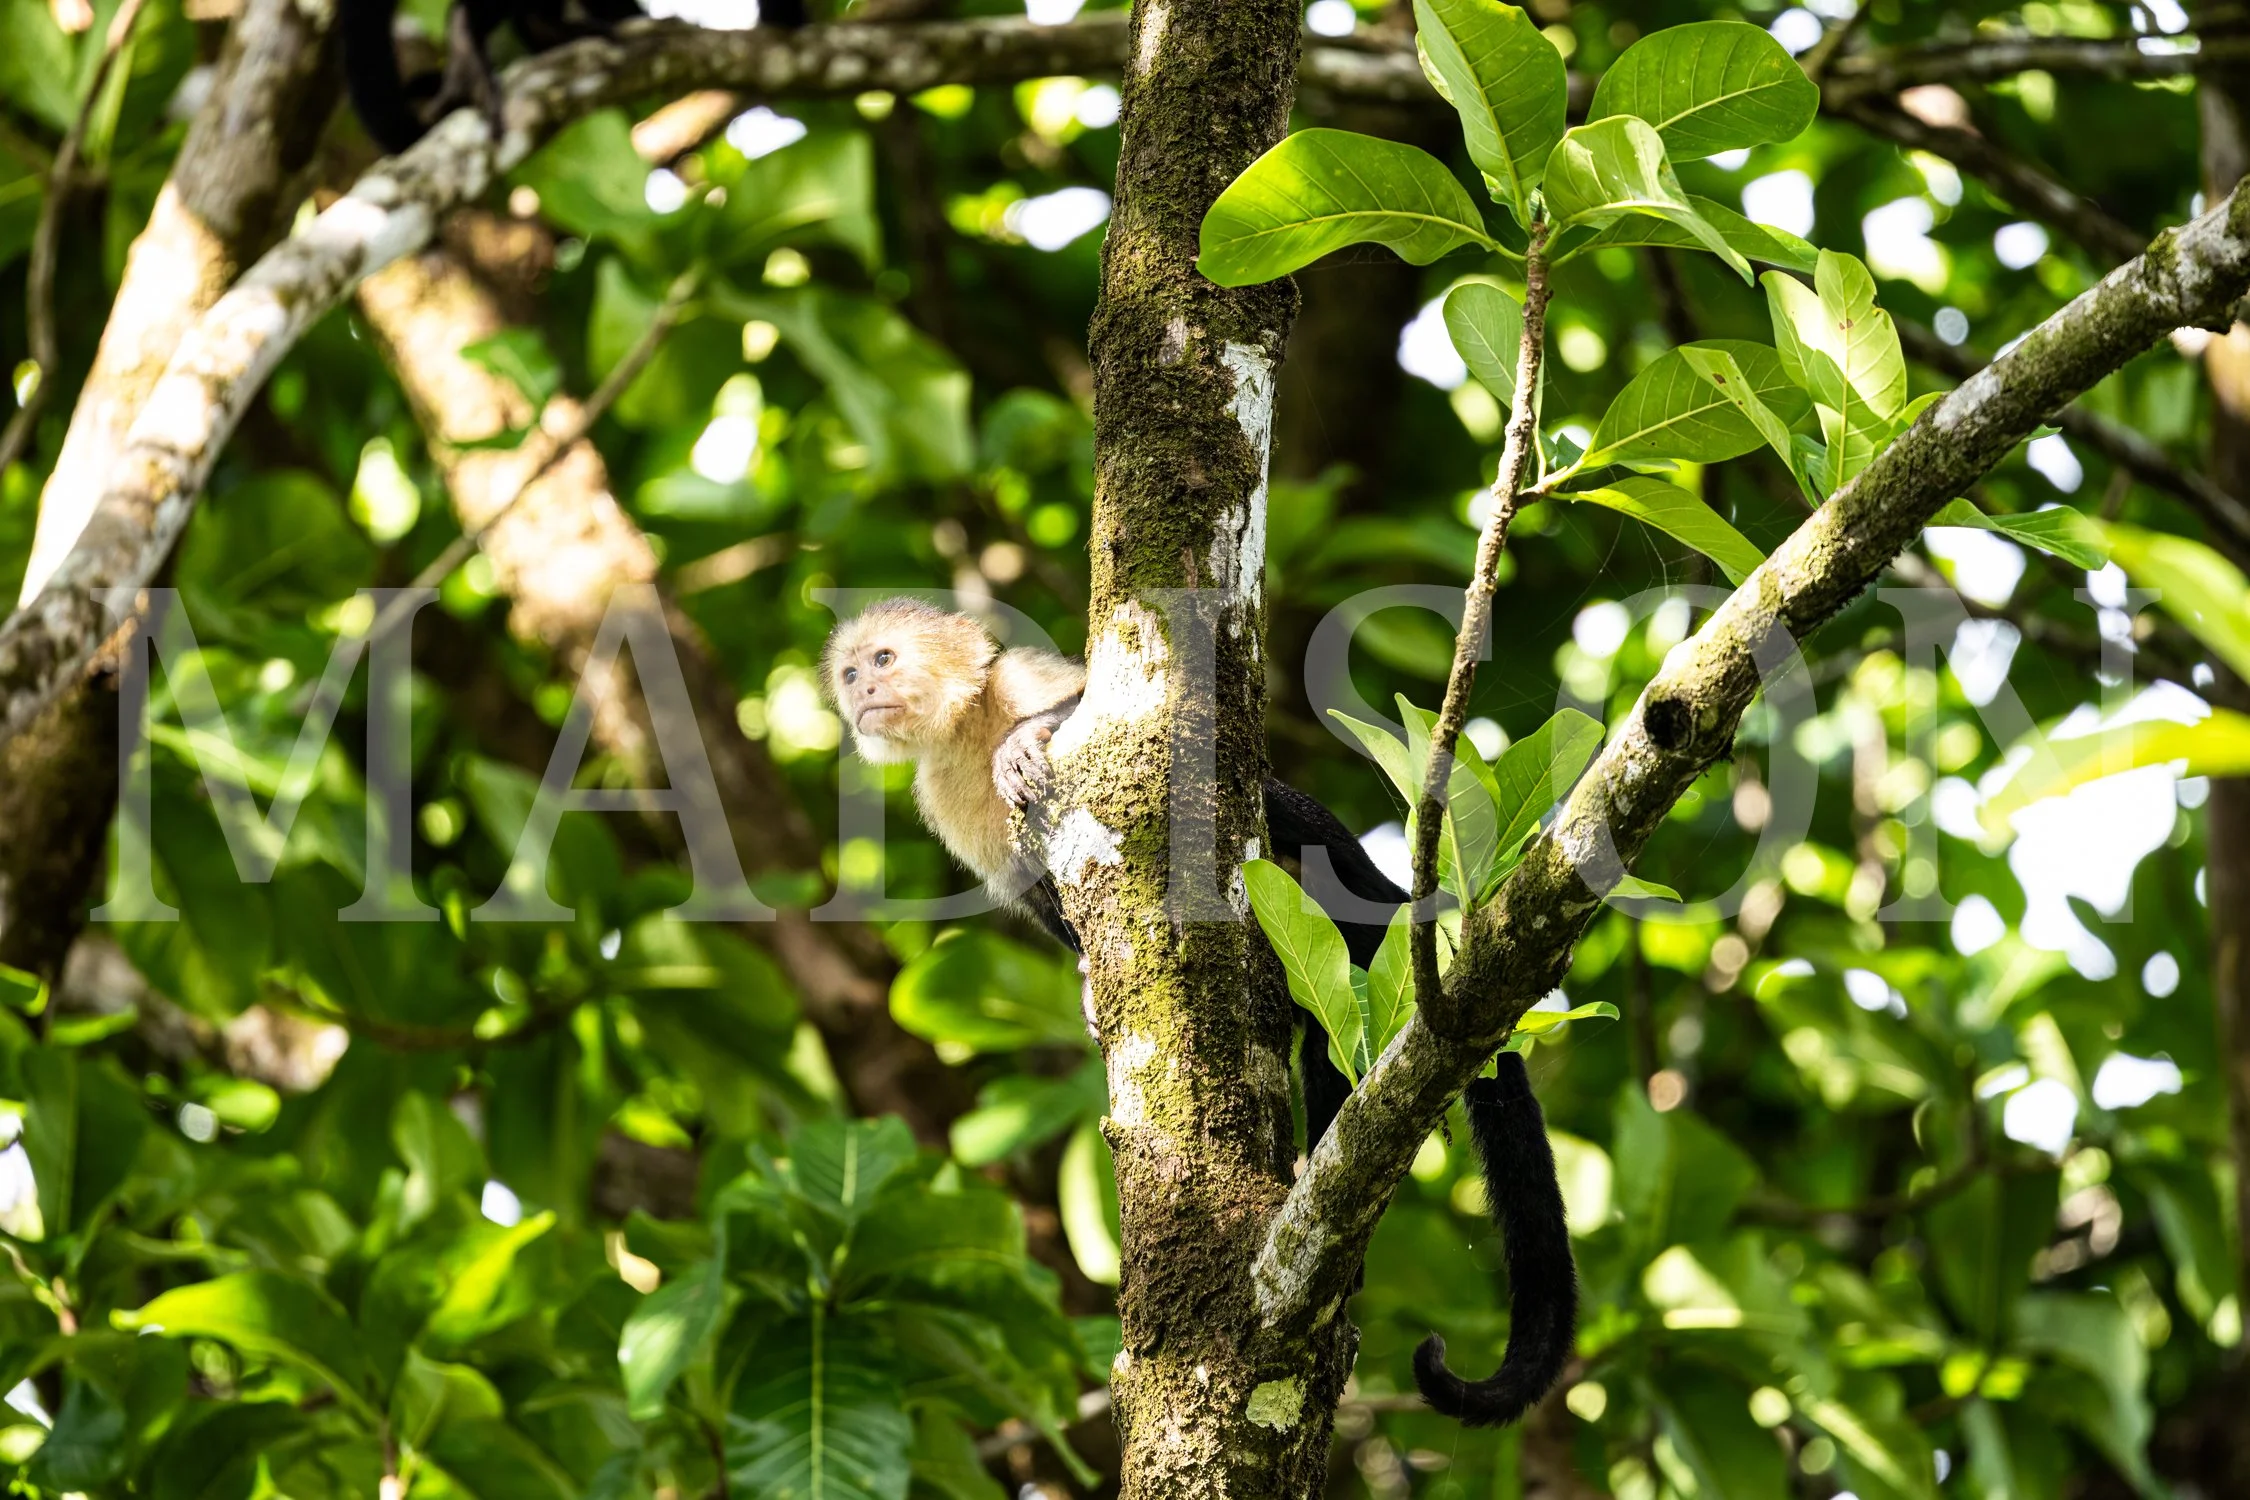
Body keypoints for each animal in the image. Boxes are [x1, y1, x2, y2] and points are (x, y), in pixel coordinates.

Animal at [823, 598, 1577, 1428]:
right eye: (851, 673)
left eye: (884, 660)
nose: (863, 692)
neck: (963, 729)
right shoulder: (942, 797)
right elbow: (1038, 903)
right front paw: (1085, 978)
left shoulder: (1019, 683)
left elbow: (1101, 711)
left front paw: (1030, 739)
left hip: (1358, 911)